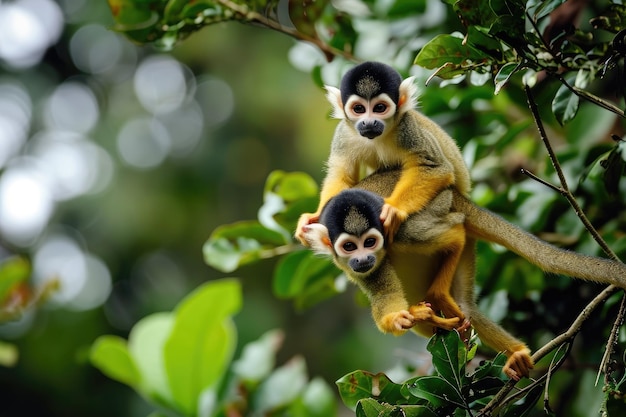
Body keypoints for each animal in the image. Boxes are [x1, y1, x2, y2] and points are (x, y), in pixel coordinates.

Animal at [294, 61, 470, 322]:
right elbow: (341, 174)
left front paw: (394, 210)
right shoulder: (343, 133)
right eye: (358, 109)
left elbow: (434, 168)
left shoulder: (407, 127)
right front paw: (315, 216)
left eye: (379, 108)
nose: (368, 122)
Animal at [302, 169, 626, 380]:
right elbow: (385, 296)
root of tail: (458, 197)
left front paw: (435, 297)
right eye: (349, 246)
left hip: (440, 210)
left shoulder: (400, 231)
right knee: (454, 309)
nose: (363, 258)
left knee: (457, 233)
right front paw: (400, 318)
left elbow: (453, 236)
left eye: (369, 242)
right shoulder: (357, 268)